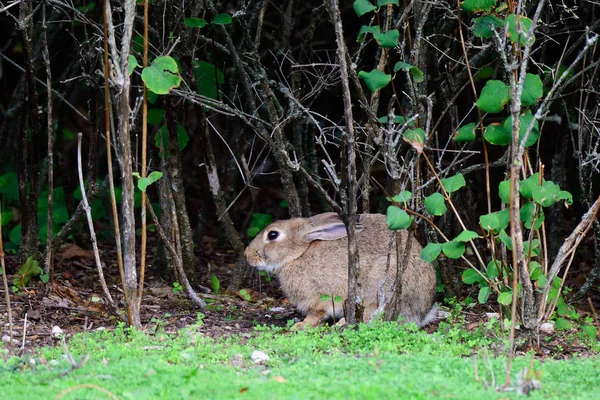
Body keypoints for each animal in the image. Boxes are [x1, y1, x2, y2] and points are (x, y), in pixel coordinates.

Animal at [244, 212, 436, 328]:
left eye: (273, 235)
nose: (247, 255)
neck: (298, 254)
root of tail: (421, 313)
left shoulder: (319, 298)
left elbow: (315, 315)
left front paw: (300, 326)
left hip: (381, 288)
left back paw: (341, 323)